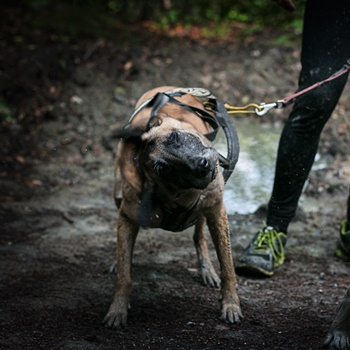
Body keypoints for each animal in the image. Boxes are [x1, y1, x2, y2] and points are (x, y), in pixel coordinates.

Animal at [102, 86, 242, 326]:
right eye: (163, 168)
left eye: (175, 137)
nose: (202, 165)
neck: (177, 196)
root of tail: (164, 88)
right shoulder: (128, 215)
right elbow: (123, 274)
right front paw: (117, 309)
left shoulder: (217, 210)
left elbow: (228, 265)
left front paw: (231, 304)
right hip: (117, 193)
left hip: (206, 211)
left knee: (199, 235)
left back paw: (206, 269)